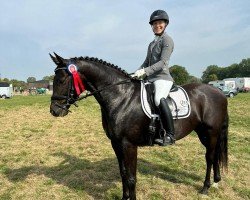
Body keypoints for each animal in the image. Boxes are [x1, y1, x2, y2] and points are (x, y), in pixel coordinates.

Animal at [49, 53, 229, 200]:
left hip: (211, 132)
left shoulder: (129, 145)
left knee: (209, 157)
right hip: (203, 133)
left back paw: (205, 187)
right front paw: (124, 197)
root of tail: (219, 92)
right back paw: (216, 181)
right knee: (214, 155)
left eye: (62, 80)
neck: (121, 97)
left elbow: (131, 178)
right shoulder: (116, 143)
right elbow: (123, 173)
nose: (54, 111)